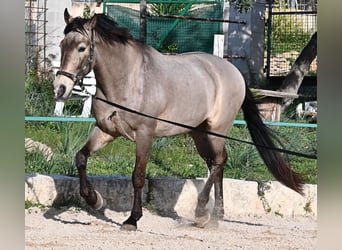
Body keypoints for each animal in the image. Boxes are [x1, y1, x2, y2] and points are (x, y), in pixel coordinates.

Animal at [54, 9, 304, 230]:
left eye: (82, 48)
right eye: (61, 46)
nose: (60, 88)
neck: (129, 80)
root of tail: (234, 71)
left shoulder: (144, 135)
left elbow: (138, 176)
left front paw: (132, 220)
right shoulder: (106, 130)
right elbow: (81, 158)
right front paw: (94, 199)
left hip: (217, 130)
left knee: (219, 161)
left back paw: (202, 211)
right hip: (199, 134)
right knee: (215, 164)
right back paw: (216, 215)